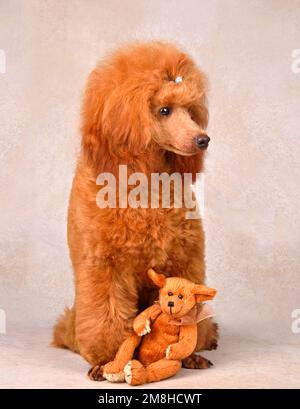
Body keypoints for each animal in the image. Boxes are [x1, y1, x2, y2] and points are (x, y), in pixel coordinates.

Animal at [53, 39, 218, 378]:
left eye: (191, 110)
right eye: (164, 110)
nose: (203, 139)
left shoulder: (184, 259)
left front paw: (190, 353)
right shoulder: (105, 267)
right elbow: (106, 316)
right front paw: (107, 361)